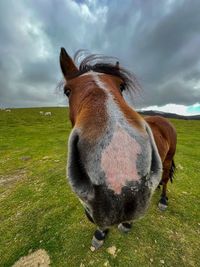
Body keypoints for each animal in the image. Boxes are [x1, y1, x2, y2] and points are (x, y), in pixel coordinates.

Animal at [59, 47, 177, 249]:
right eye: (68, 91)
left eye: (121, 87)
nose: (120, 169)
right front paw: (101, 233)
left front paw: (127, 223)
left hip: (168, 159)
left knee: (165, 179)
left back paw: (162, 199)